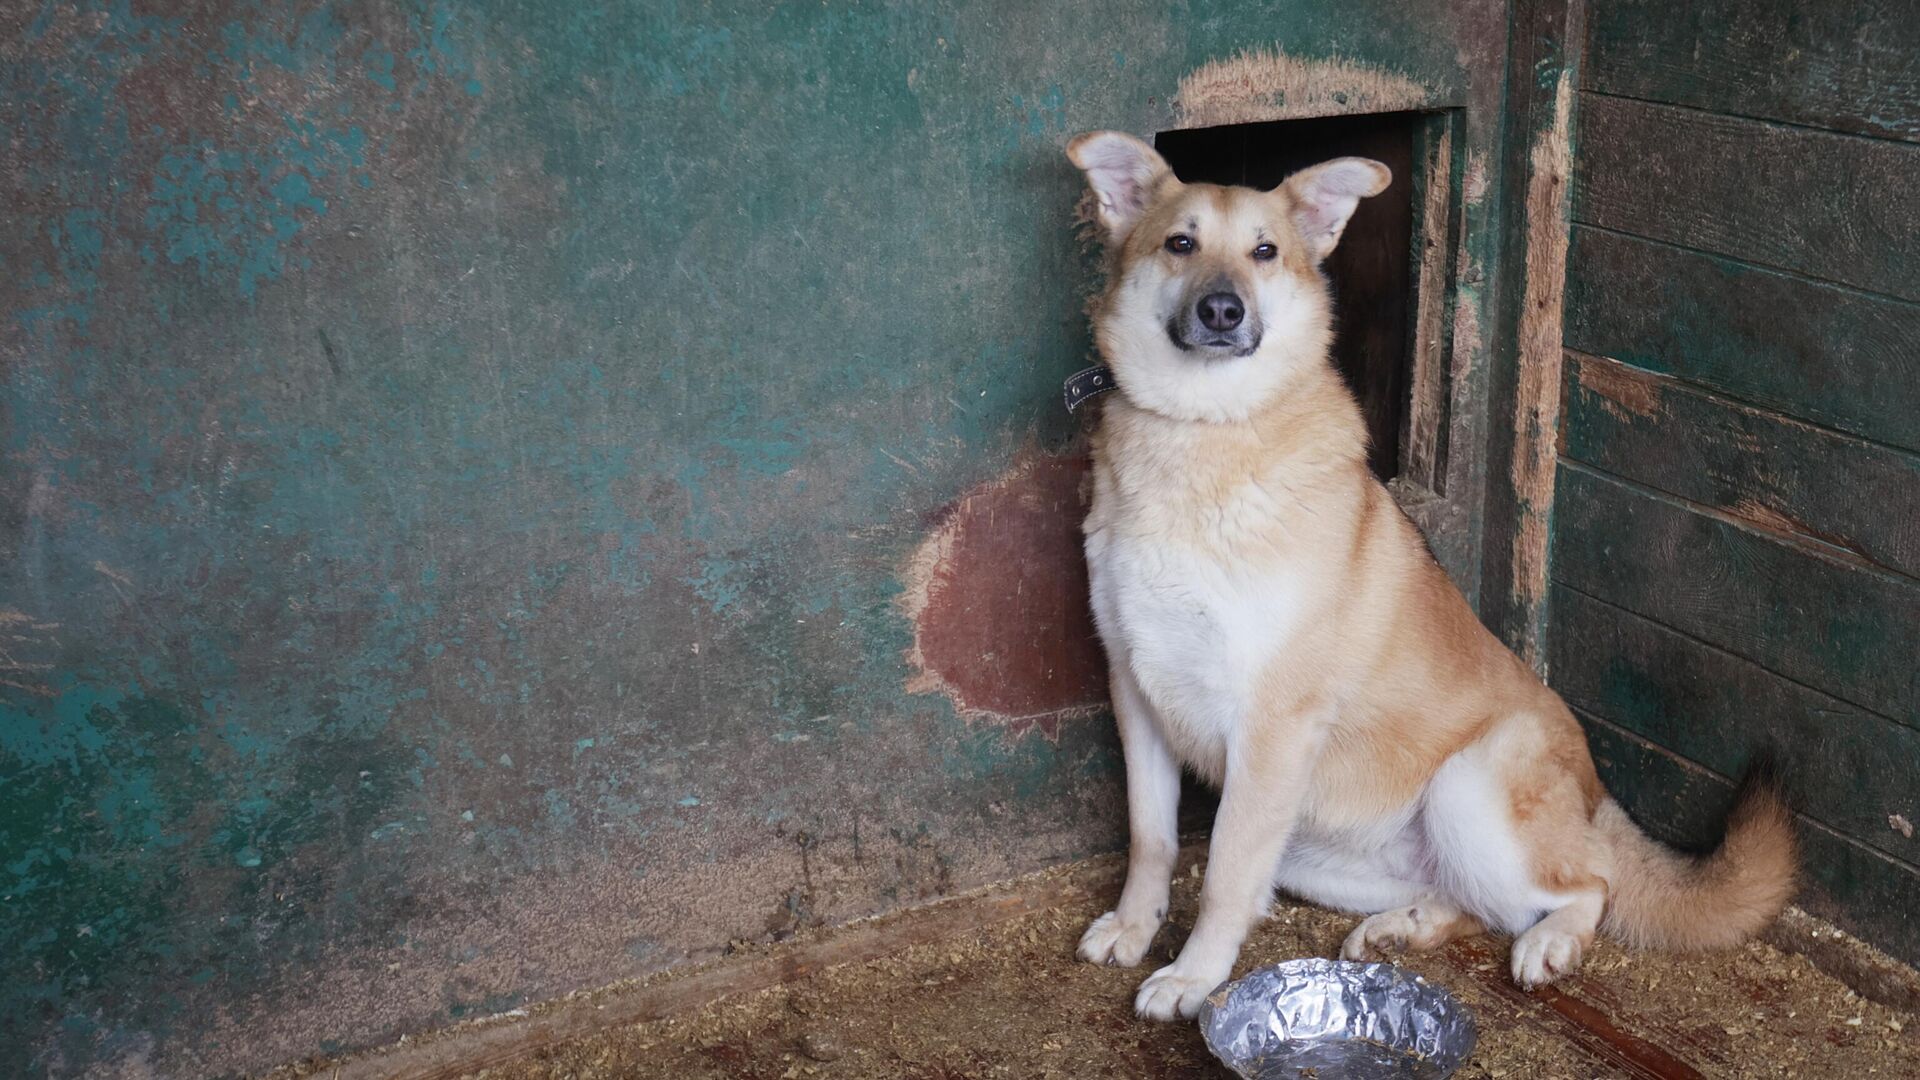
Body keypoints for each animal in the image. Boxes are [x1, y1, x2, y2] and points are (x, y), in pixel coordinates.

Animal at [1059, 132, 1789, 1014]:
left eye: (1265, 252)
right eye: (1179, 243)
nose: (1223, 311)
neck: (1204, 429)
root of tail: (1596, 799)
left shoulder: (1271, 726)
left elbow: (1225, 874)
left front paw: (1194, 975)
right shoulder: (1135, 692)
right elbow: (1152, 838)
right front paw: (1134, 927)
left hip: (1466, 790)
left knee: (1587, 886)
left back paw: (1548, 943)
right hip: (1317, 851)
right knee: (1471, 901)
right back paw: (1402, 928)